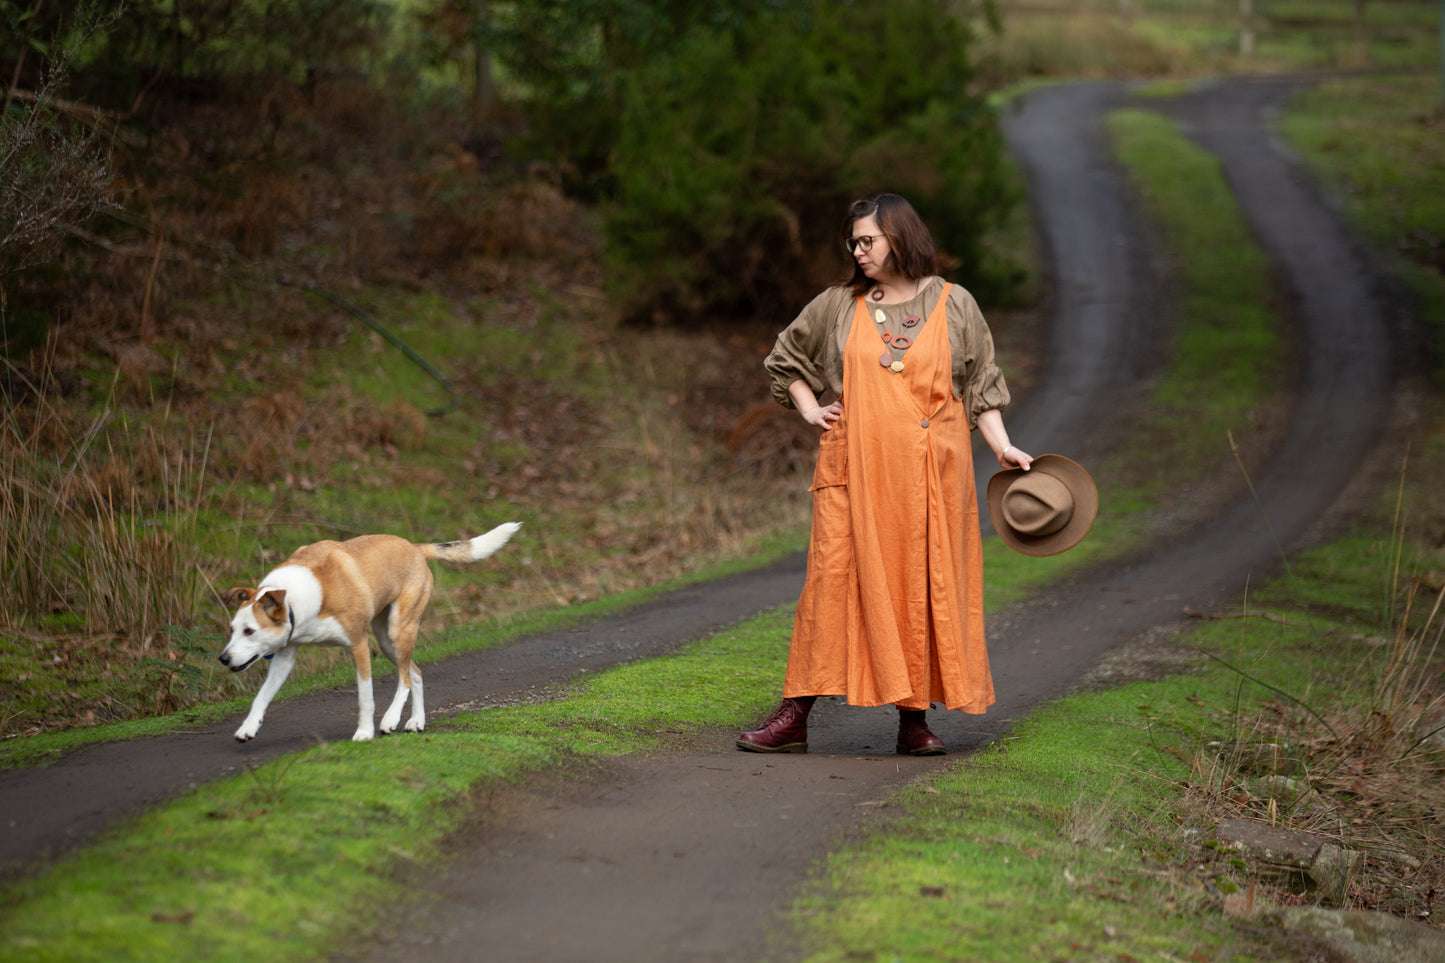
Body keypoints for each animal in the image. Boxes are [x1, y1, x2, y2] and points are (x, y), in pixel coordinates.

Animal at [219, 526, 520, 740]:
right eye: (233, 630)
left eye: (250, 631)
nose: (223, 658)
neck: (299, 596)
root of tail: (415, 547)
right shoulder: (285, 657)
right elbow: (262, 696)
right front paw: (248, 728)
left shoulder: (358, 644)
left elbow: (365, 697)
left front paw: (364, 732)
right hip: (387, 642)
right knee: (416, 673)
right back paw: (416, 721)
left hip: (399, 630)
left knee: (405, 678)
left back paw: (391, 719)